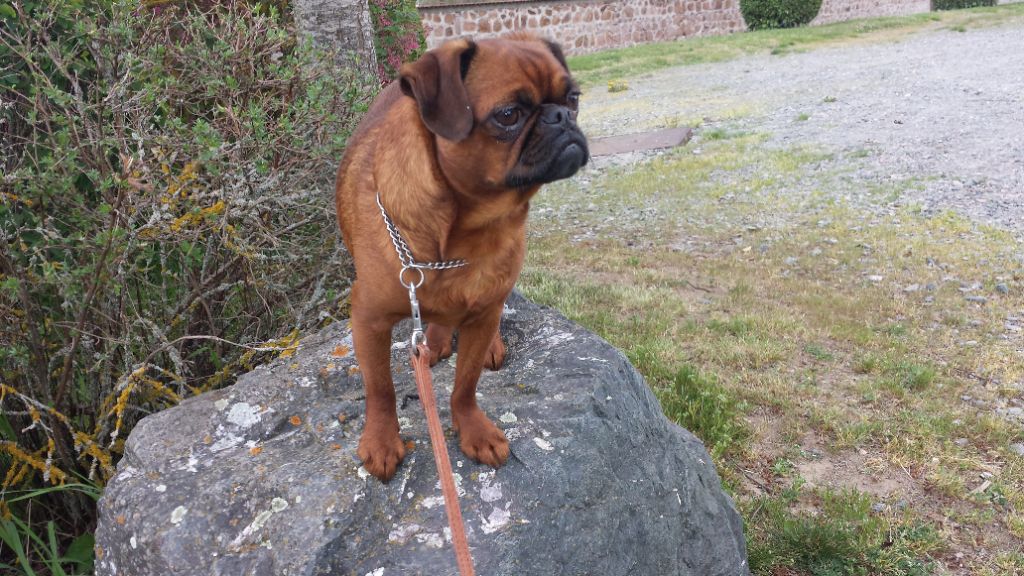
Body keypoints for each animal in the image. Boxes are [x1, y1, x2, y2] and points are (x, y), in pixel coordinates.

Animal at [335, 32, 589, 479]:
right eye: (508, 115)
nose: (561, 116)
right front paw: (381, 439)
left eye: (573, 98)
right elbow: (379, 388)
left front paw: (472, 429)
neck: (465, 236)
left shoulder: (483, 314)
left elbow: (465, 386)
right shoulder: (368, 320)